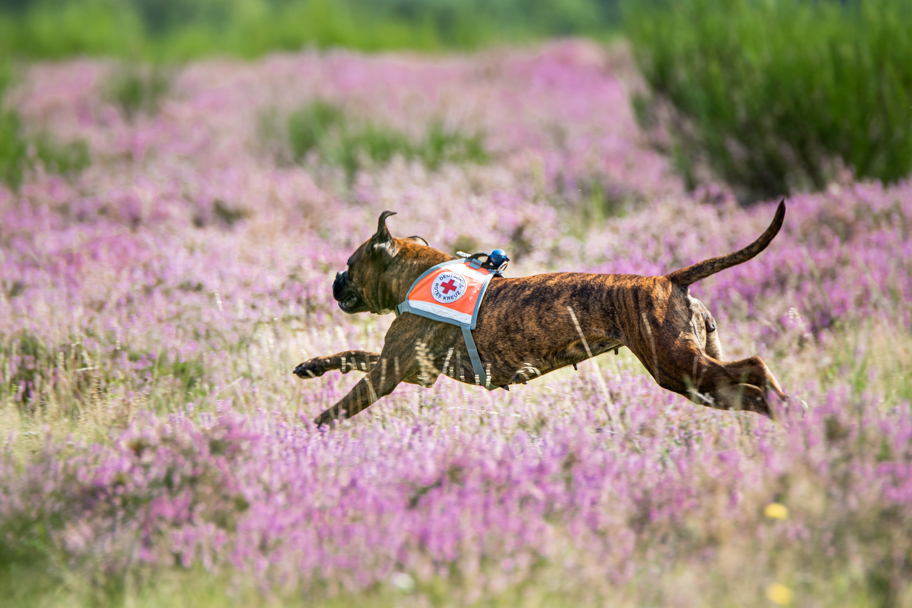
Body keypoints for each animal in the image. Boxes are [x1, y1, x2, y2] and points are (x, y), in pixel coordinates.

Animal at [296, 203, 788, 422]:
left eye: (350, 262)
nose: (335, 280)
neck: (417, 271)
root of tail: (670, 280)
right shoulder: (410, 368)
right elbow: (352, 354)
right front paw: (313, 366)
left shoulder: (388, 373)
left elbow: (342, 404)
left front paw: (311, 435)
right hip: (701, 376)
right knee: (747, 389)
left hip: (679, 367)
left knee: (756, 366)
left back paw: (787, 408)